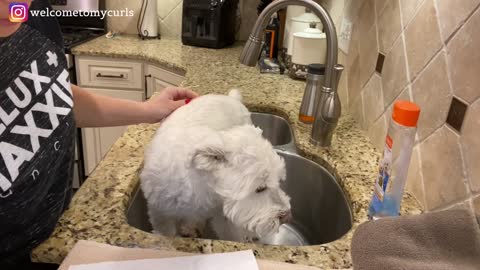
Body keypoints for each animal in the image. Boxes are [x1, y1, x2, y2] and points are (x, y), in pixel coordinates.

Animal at [140, 89, 292, 242]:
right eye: (260, 188)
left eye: (279, 180)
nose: (287, 217)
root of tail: (231, 97)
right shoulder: (159, 212)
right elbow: (166, 231)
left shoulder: (223, 216)